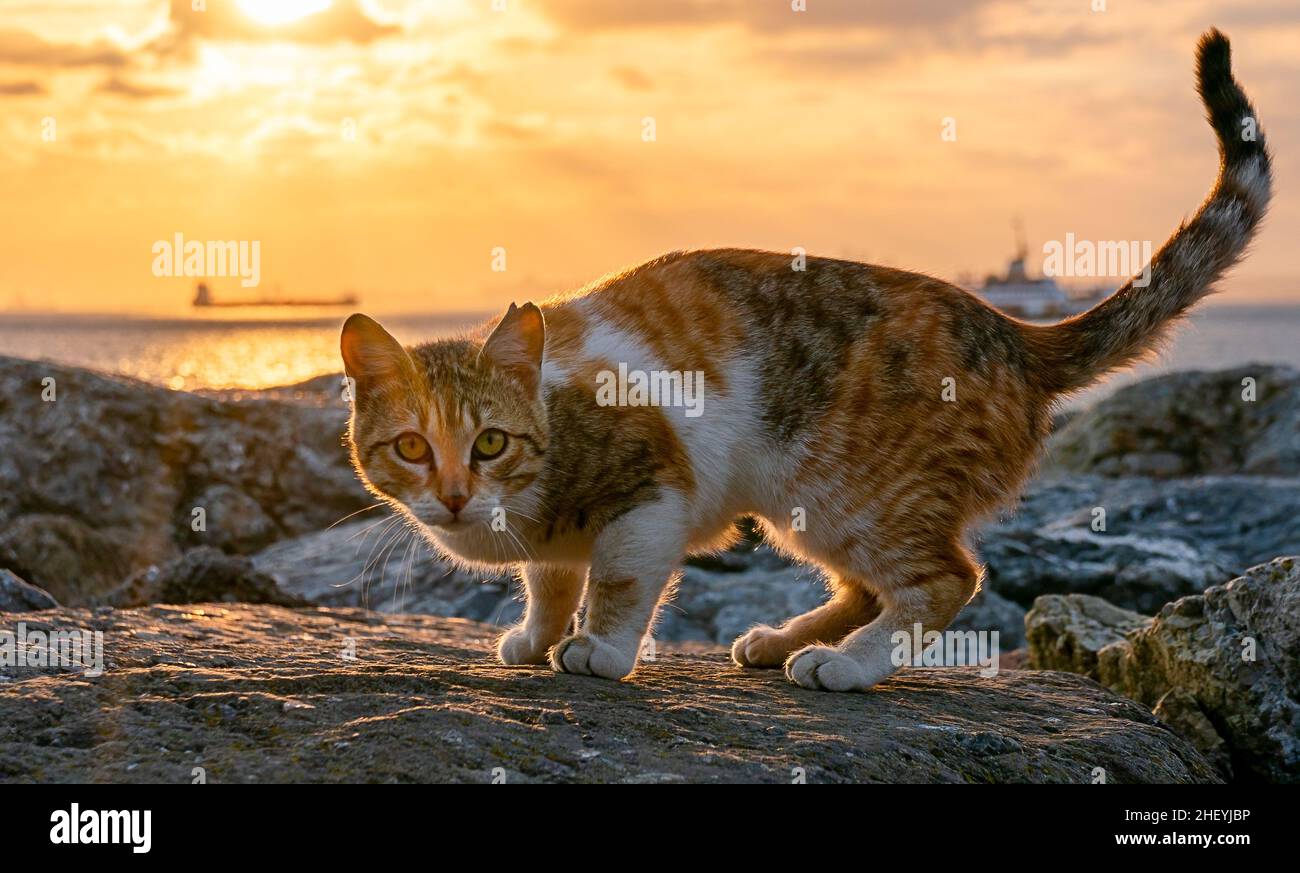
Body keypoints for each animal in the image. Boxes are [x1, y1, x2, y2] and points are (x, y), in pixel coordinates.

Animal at [343, 30, 1268, 691]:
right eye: (412, 447)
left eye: (491, 441)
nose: (454, 496)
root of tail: (1014, 331)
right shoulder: (555, 535)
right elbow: (549, 578)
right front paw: (536, 635)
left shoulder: (652, 490)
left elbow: (617, 577)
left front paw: (598, 647)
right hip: (811, 504)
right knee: (866, 586)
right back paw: (782, 640)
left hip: (847, 488)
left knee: (945, 579)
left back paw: (850, 663)